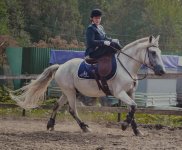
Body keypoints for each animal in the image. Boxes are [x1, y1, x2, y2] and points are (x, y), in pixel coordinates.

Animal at [10, 35, 166, 136]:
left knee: (56, 105)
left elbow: (133, 109)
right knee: (72, 110)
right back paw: (84, 127)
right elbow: (133, 107)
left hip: (67, 92)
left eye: (159, 52)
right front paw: (124, 125)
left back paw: (51, 125)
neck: (126, 66)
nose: (162, 71)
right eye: (153, 52)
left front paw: (136, 130)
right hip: (71, 93)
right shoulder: (119, 93)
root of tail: (61, 66)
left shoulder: (130, 93)